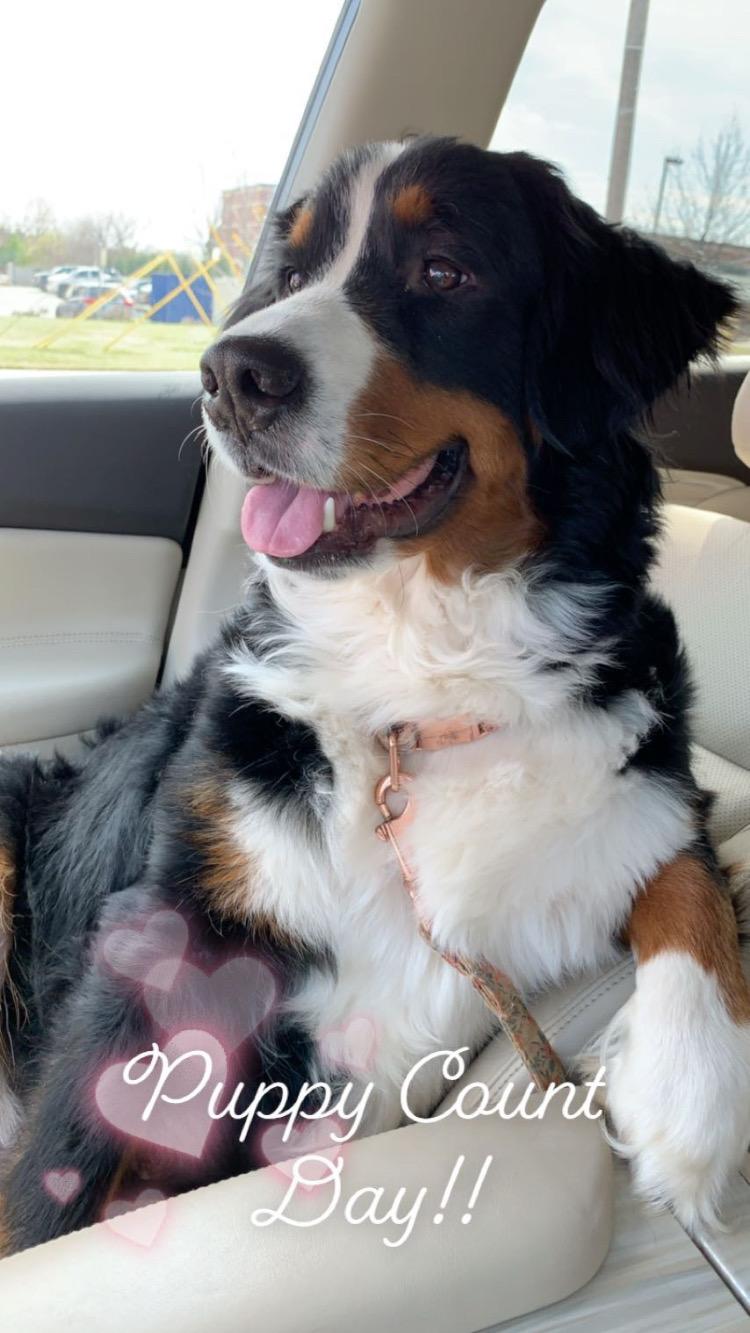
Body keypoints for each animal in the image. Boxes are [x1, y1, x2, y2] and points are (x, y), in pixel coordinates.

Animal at [1, 136, 748, 1253]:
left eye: (444, 270)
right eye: (289, 277)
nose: (230, 373)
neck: (420, 678)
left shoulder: (646, 779)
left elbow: (690, 881)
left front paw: (687, 1098)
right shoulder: (166, 937)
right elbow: (53, 1185)